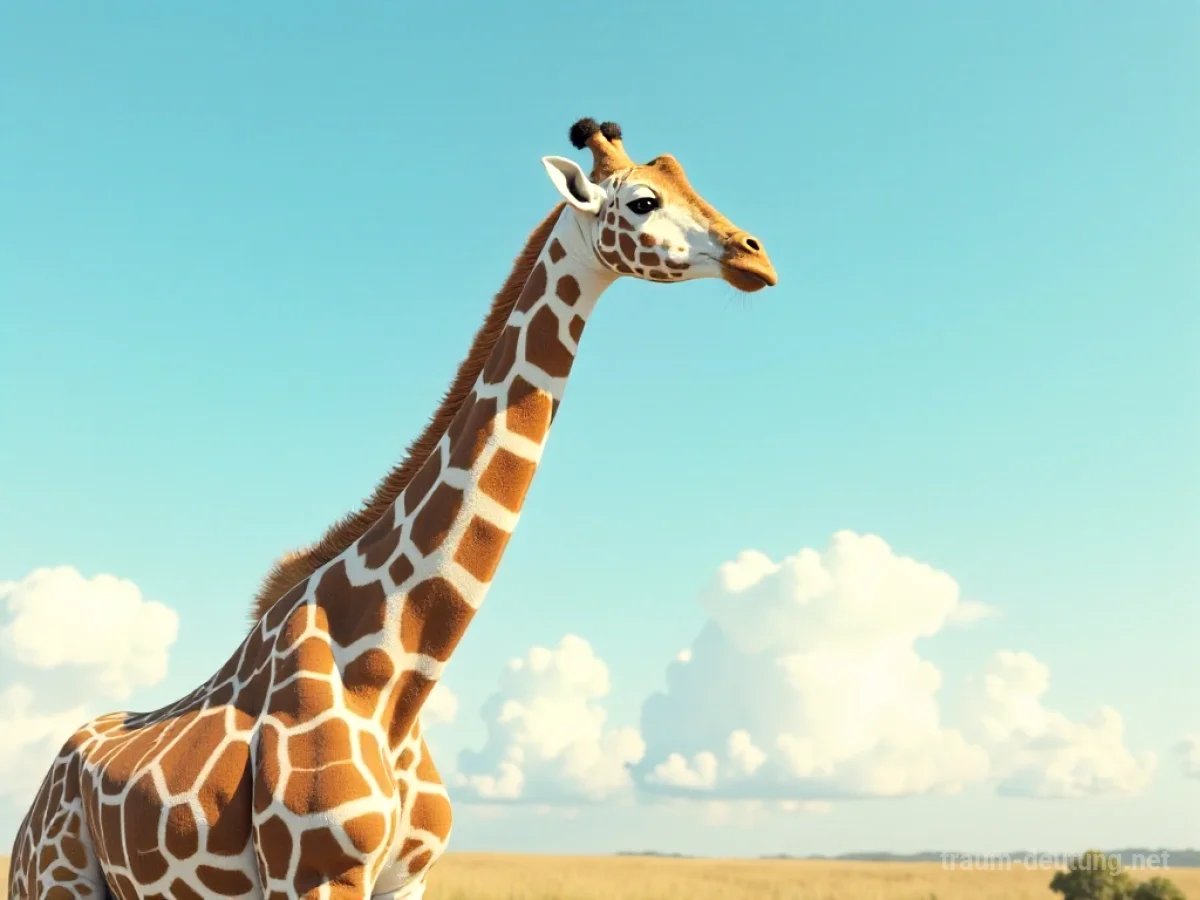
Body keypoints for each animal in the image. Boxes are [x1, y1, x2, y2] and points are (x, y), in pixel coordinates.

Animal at [8, 118, 777, 900]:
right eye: (644, 201)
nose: (758, 256)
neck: (399, 679)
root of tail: (36, 801)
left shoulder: (406, 878)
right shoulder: (316, 873)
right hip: (57, 881)